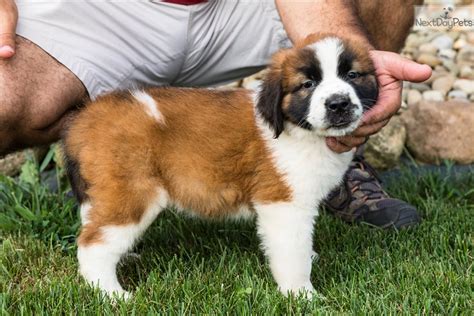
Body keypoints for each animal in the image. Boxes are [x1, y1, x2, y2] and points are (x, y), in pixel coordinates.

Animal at [64, 33, 378, 298]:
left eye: (352, 75)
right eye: (308, 84)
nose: (338, 103)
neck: (298, 128)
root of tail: (86, 118)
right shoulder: (283, 204)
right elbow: (292, 253)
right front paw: (302, 295)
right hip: (133, 193)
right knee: (93, 245)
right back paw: (113, 295)